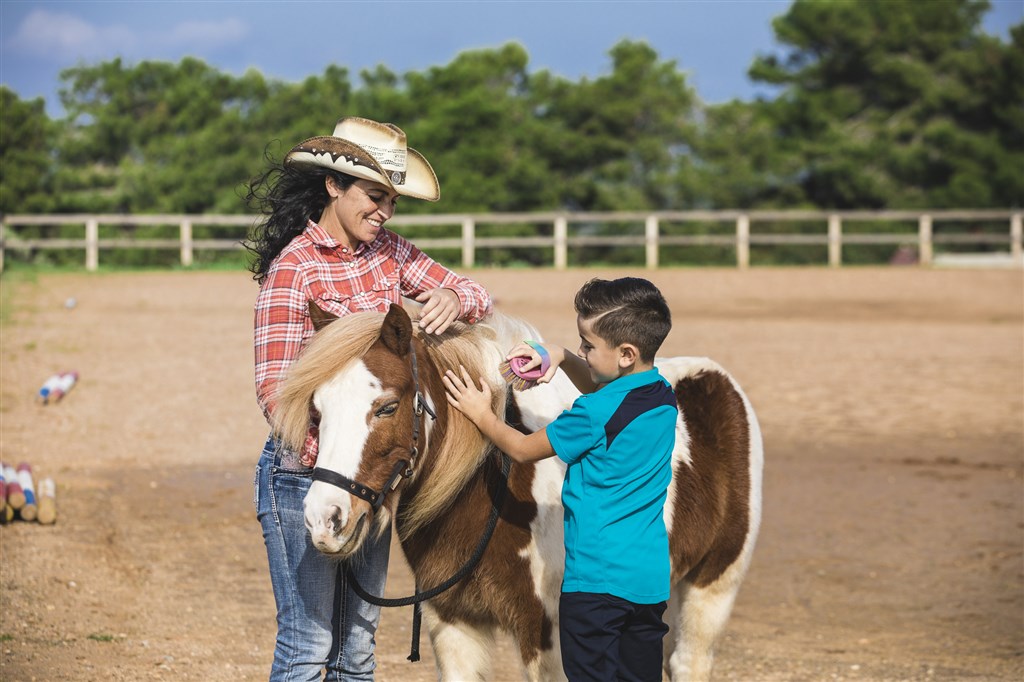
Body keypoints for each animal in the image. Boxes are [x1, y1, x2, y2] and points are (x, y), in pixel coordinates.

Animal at [272, 303, 761, 679]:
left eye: (387, 407)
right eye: (317, 410)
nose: (324, 519)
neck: (494, 493)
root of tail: (718, 381)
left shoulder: (548, 634)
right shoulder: (453, 623)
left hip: (712, 588)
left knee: (688, 662)